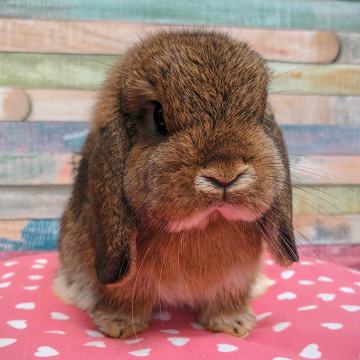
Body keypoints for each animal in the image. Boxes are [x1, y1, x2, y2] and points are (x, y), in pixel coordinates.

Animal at [53, 30, 300, 338]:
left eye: (258, 115)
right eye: (158, 116)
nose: (225, 174)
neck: (202, 226)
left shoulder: (235, 279)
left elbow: (226, 299)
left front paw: (233, 325)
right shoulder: (124, 284)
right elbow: (122, 298)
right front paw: (118, 326)